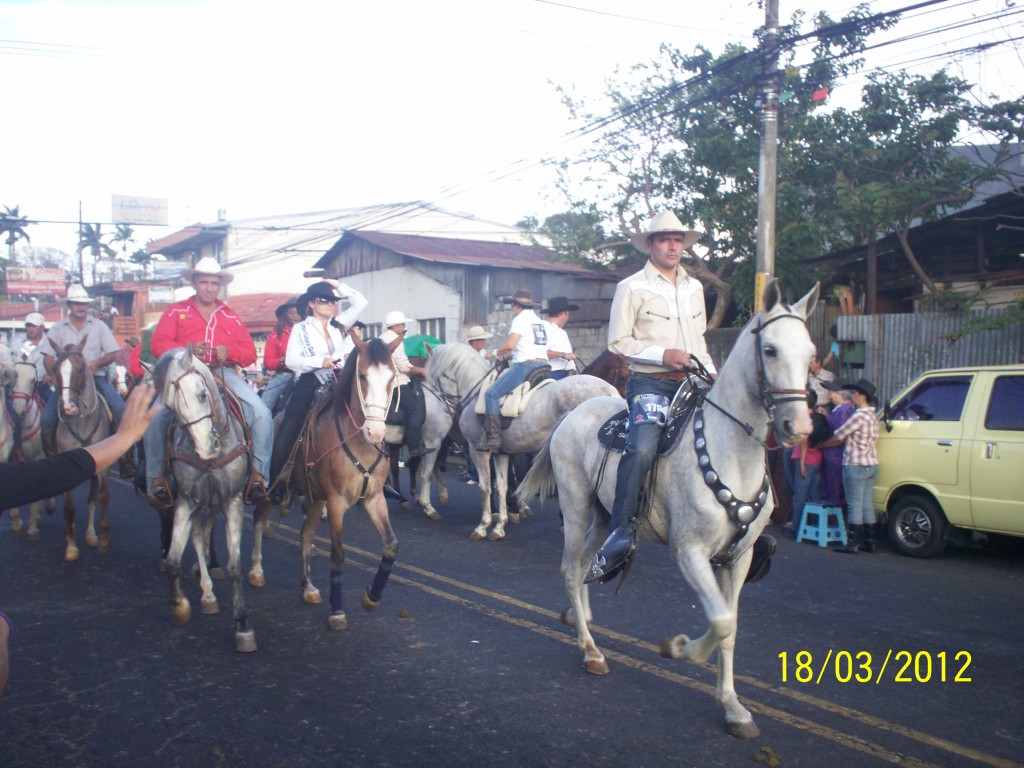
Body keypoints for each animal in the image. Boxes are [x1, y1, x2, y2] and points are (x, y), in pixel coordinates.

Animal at [290, 335, 401, 630]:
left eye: (391, 378)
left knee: (305, 535)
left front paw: (372, 597)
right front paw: (337, 611)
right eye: (362, 376)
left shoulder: (375, 499)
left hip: (314, 498)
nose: (376, 432)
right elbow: (338, 555)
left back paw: (307, 588)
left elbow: (391, 546)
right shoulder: (336, 502)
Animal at [423, 342, 614, 540]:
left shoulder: (478, 450)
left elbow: (485, 487)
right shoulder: (501, 453)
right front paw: (499, 526)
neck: (477, 392)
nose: (438, 407)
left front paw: (483, 526)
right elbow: (502, 486)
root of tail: (610, 392)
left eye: (433, 374)